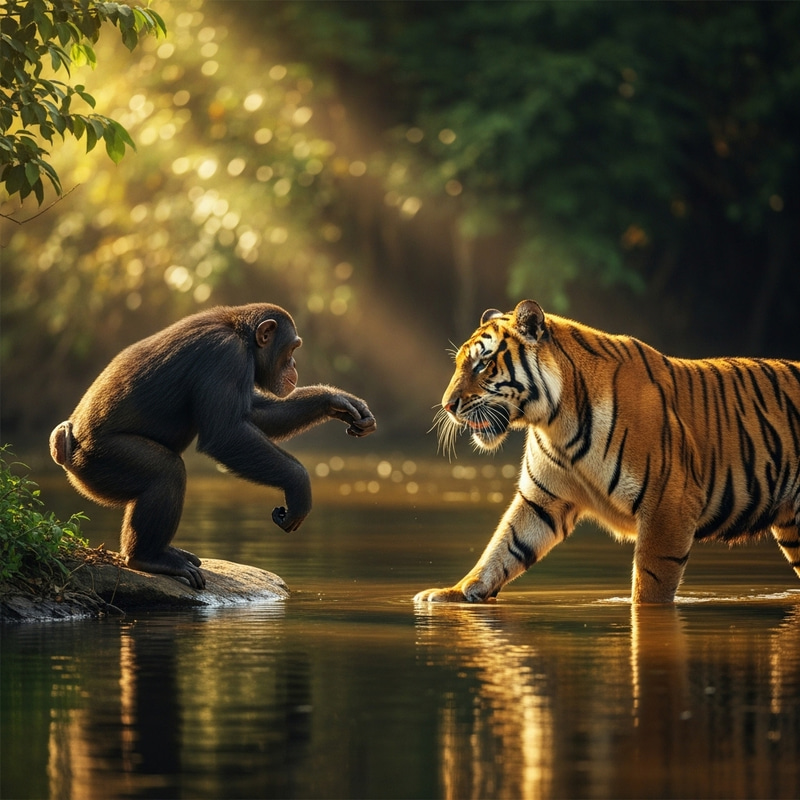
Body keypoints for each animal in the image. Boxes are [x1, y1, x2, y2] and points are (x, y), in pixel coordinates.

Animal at [415, 299, 800, 604]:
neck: (555, 421)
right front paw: (453, 593)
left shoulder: (668, 505)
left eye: (482, 364)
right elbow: (502, 549)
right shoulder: (541, 500)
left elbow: (650, 585)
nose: (447, 405)